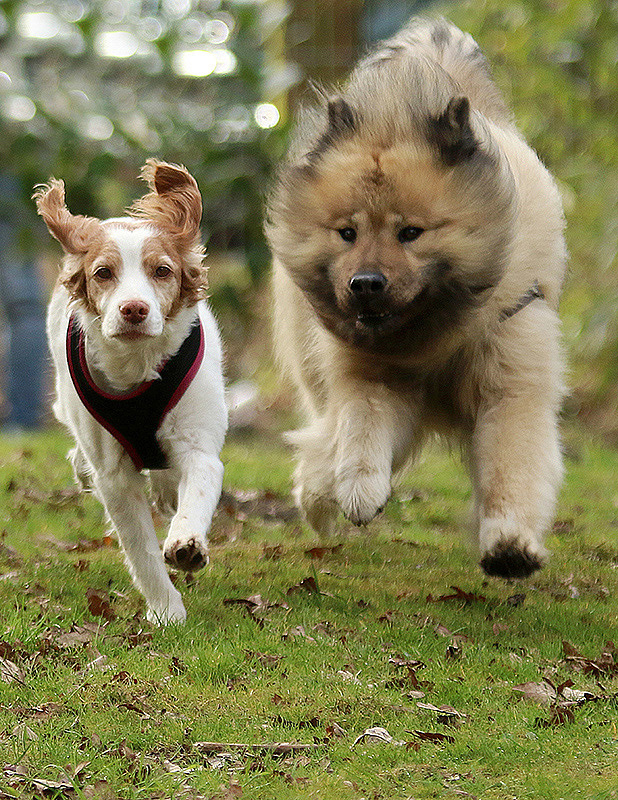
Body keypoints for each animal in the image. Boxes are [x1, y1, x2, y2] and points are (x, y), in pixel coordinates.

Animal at [35, 161, 226, 624]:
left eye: (163, 271)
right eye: (103, 273)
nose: (134, 309)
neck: (138, 364)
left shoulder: (198, 443)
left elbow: (197, 484)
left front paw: (187, 545)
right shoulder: (114, 476)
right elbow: (140, 546)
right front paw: (167, 611)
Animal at [264, 17, 564, 576]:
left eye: (410, 233)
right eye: (347, 233)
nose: (365, 284)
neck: (433, 336)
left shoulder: (510, 384)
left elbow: (511, 466)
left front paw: (510, 544)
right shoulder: (374, 377)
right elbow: (361, 433)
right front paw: (357, 489)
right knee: (325, 435)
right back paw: (319, 495)